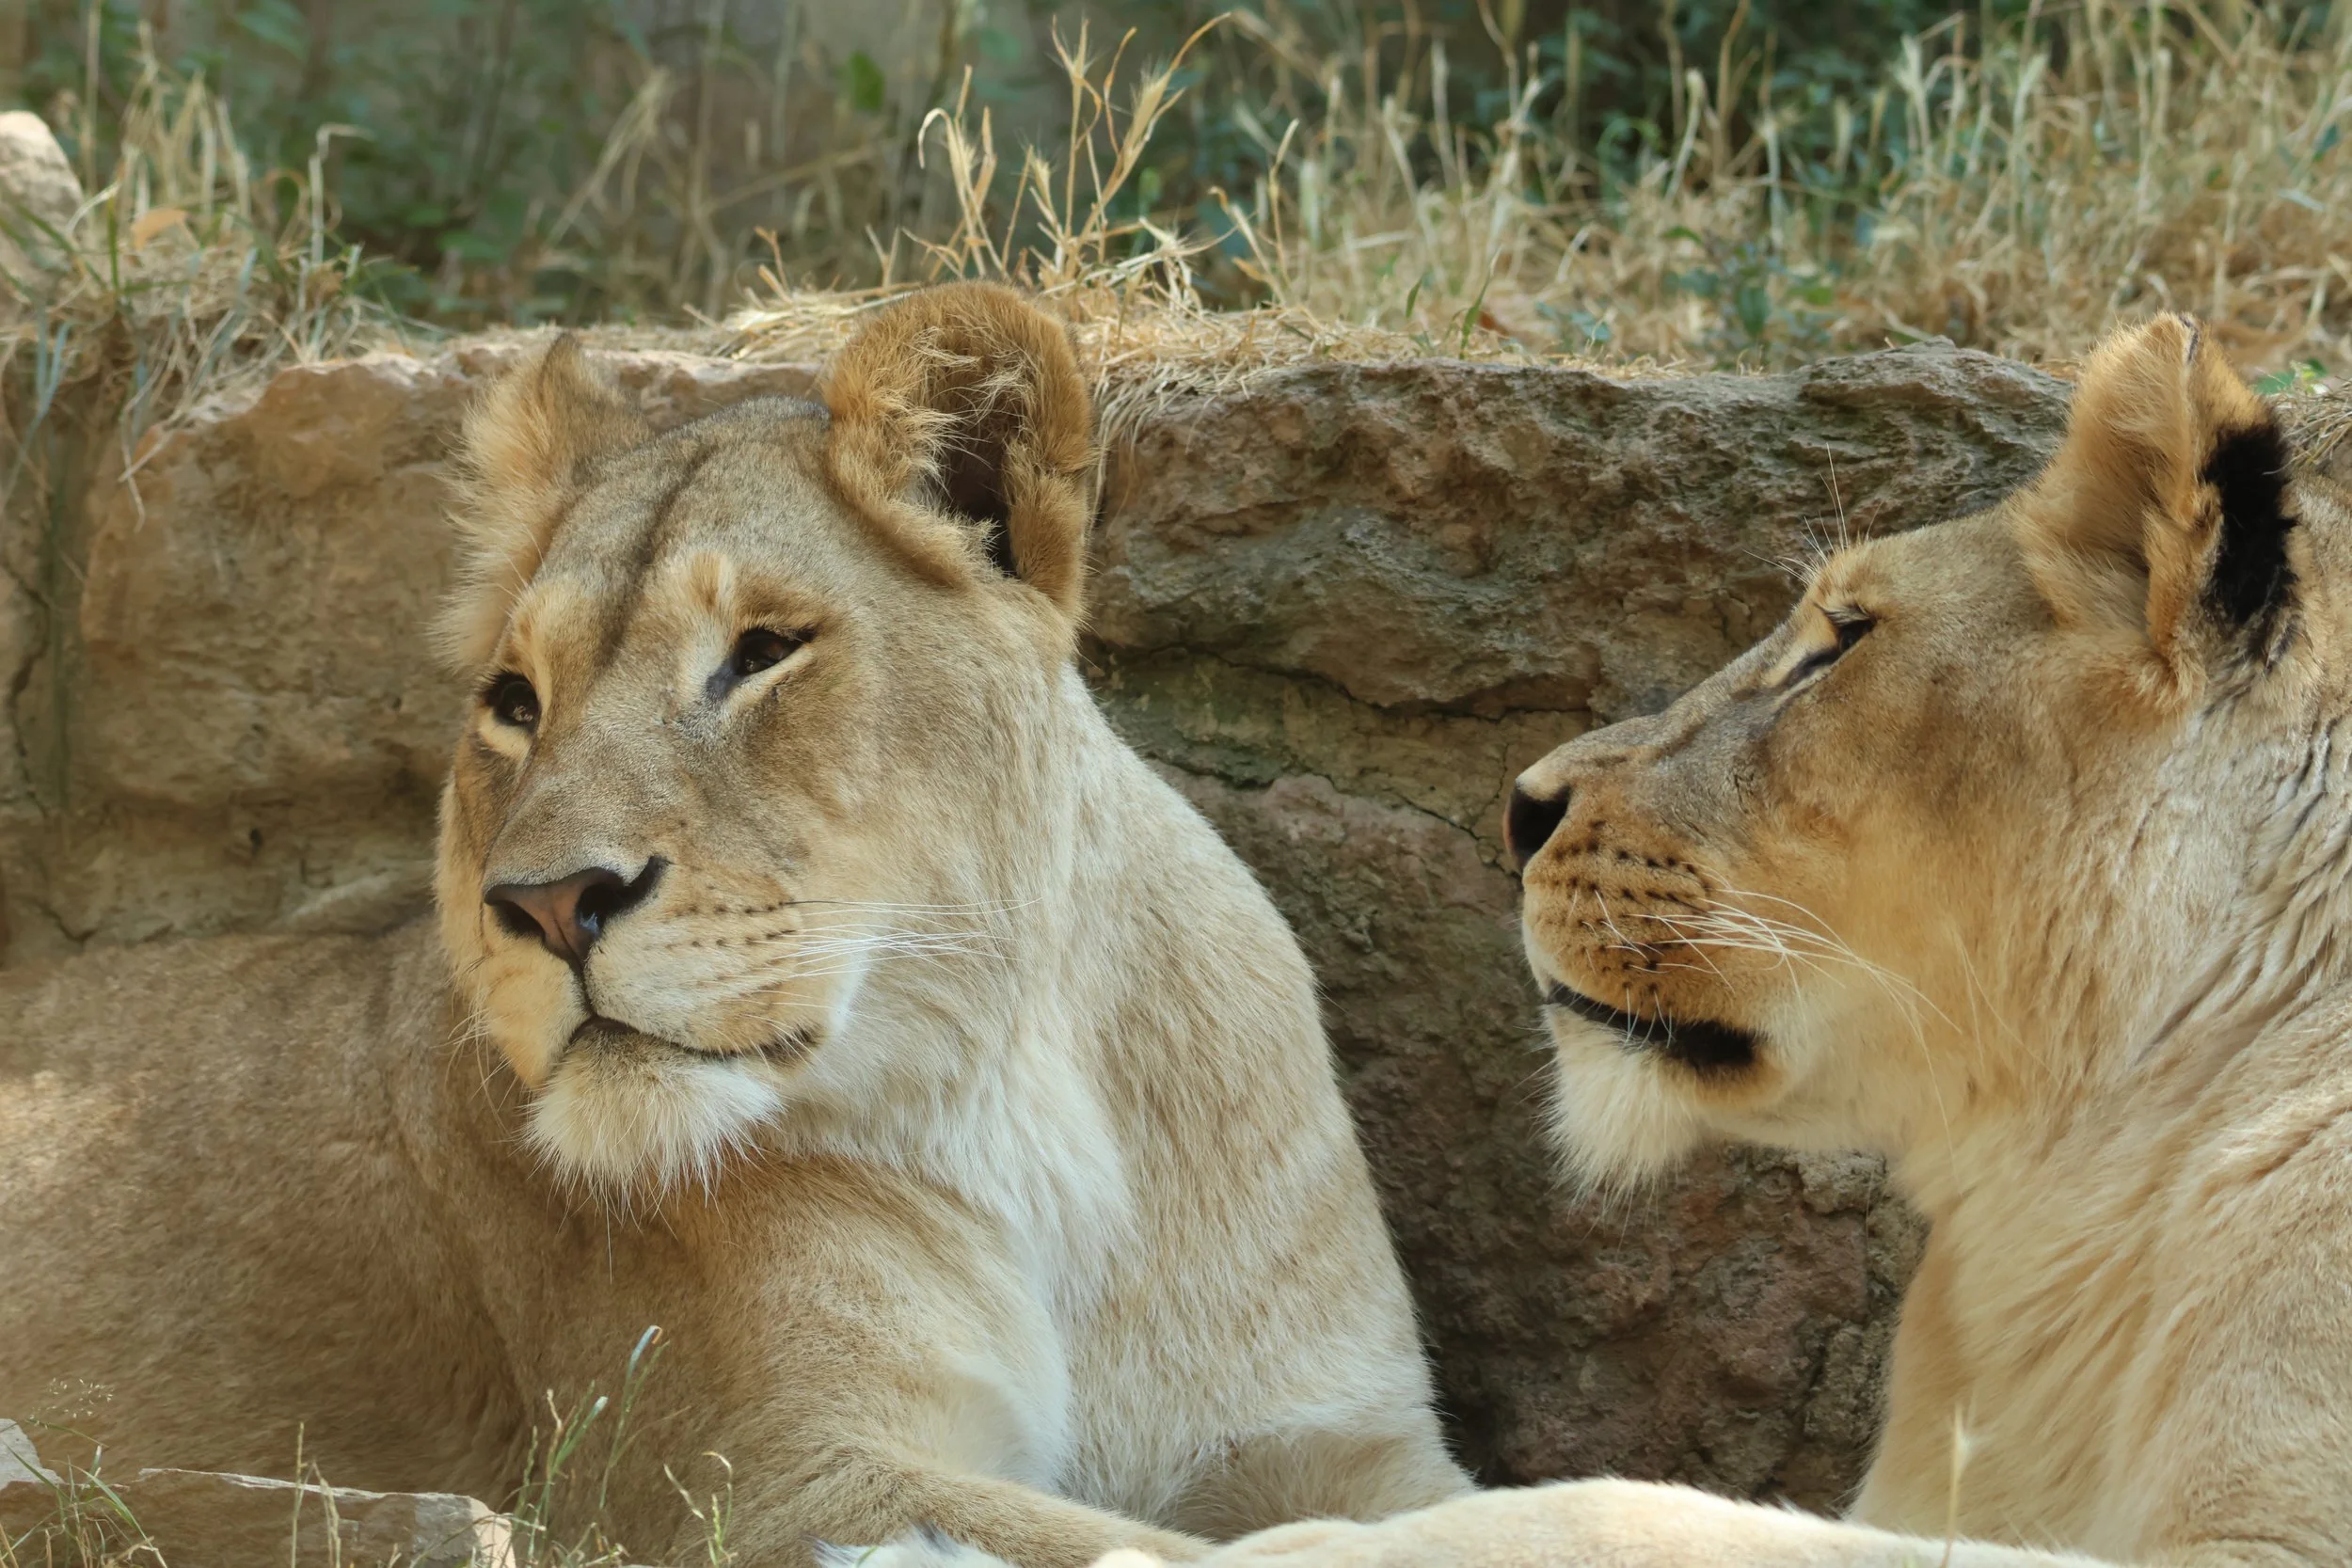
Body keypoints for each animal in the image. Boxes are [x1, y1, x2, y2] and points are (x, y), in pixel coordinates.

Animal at [0, 282, 1468, 1566]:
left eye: (762, 652)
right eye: (515, 700)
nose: (548, 902)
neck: (1025, 1094)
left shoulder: (1347, 1431)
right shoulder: (761, 1480)